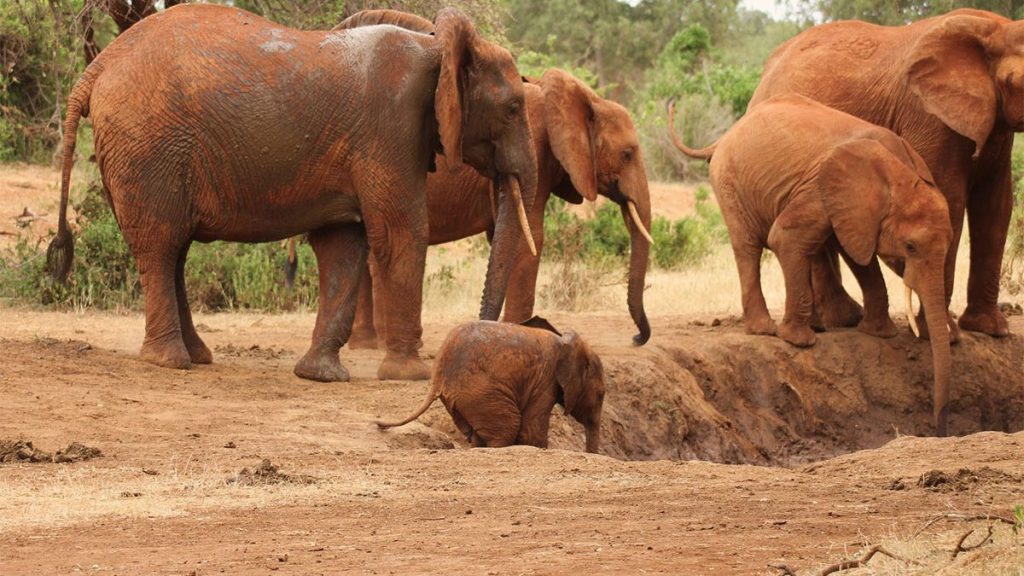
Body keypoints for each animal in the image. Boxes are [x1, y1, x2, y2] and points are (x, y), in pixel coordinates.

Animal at [44, 5, 540, 381]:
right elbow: (401, 233)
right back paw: (171, 362)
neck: (434, 46)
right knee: (161, 245)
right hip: (147, 145)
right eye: (513, 108)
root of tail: (97, 67)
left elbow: (343, 244)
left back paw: (198, 357)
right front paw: (408, 375)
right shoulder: (390, 129)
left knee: (174, 250)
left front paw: (321, 376)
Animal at [374, 315, 602, 450]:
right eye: (600, 395)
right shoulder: (545, 380)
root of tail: (437, 376)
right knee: (506, 428)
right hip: (479, 392)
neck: (567, 342)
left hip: (461, 398)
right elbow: (531, 432)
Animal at [749, 8, 1024, 338]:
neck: (995, 27)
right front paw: (944, 335)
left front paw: (990, 330)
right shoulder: (928, 118)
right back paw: (841, 319)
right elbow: (949, 199)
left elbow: (996, 207)